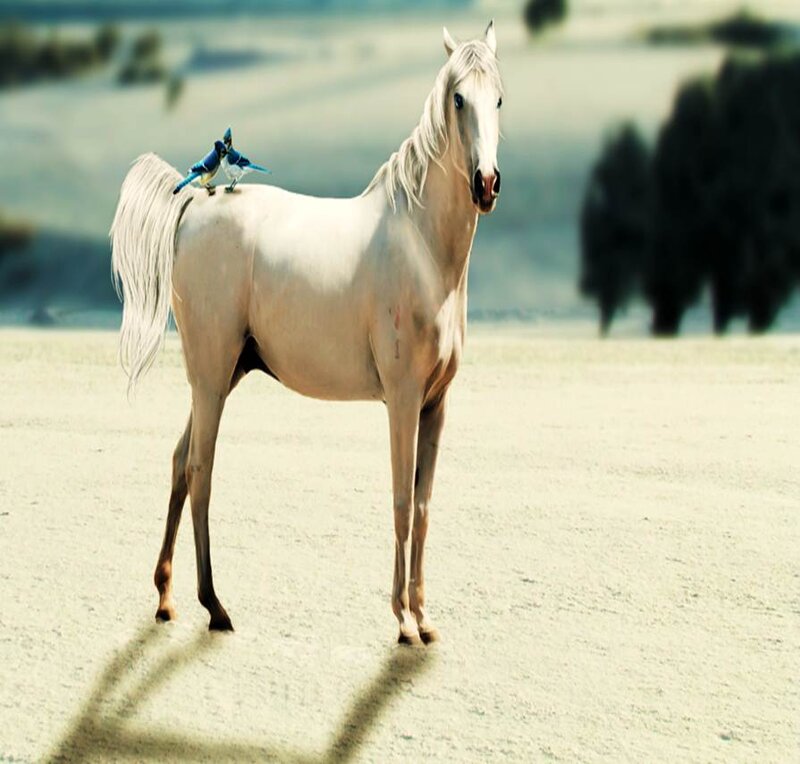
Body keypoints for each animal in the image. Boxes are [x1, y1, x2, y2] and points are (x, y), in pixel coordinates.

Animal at [110, 21, 503, 645]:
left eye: (499, 100)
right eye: (459, 98)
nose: (486, 184)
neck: (419, 246)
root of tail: (195, 202)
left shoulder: (436, 404)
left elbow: (422, 506)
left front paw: (424, 617)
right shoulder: (402, 400)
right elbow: (400, 499)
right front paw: (402, 621)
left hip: (221, 376)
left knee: (178, 463)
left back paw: (167, 600)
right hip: (211, 378)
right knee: (200, 471)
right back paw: (214, 606)